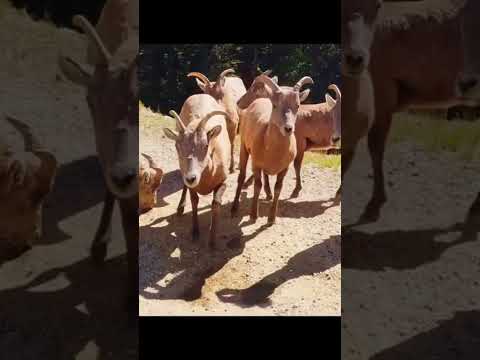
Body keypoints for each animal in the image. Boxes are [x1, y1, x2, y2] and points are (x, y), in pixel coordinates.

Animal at [164, 94, 232, 249]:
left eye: (206, 145)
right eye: (177, 146)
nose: (191, 178)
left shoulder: (223, 181)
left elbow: (215, 203)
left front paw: (212, 242)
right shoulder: (192, 186)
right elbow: (194, 201)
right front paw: (195, 233)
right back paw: (180, 209)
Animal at [232, 74, 314, 224]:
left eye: (298, 105)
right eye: (275, 105)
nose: (288, 128)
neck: (273, 151)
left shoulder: (284, 169)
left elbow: (278, 188)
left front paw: (271, 219)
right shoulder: (256, 164)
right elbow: (257, 186)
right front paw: (253, 215)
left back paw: (268, 193)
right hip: (243, 148)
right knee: (241, 177)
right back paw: (234, 208)